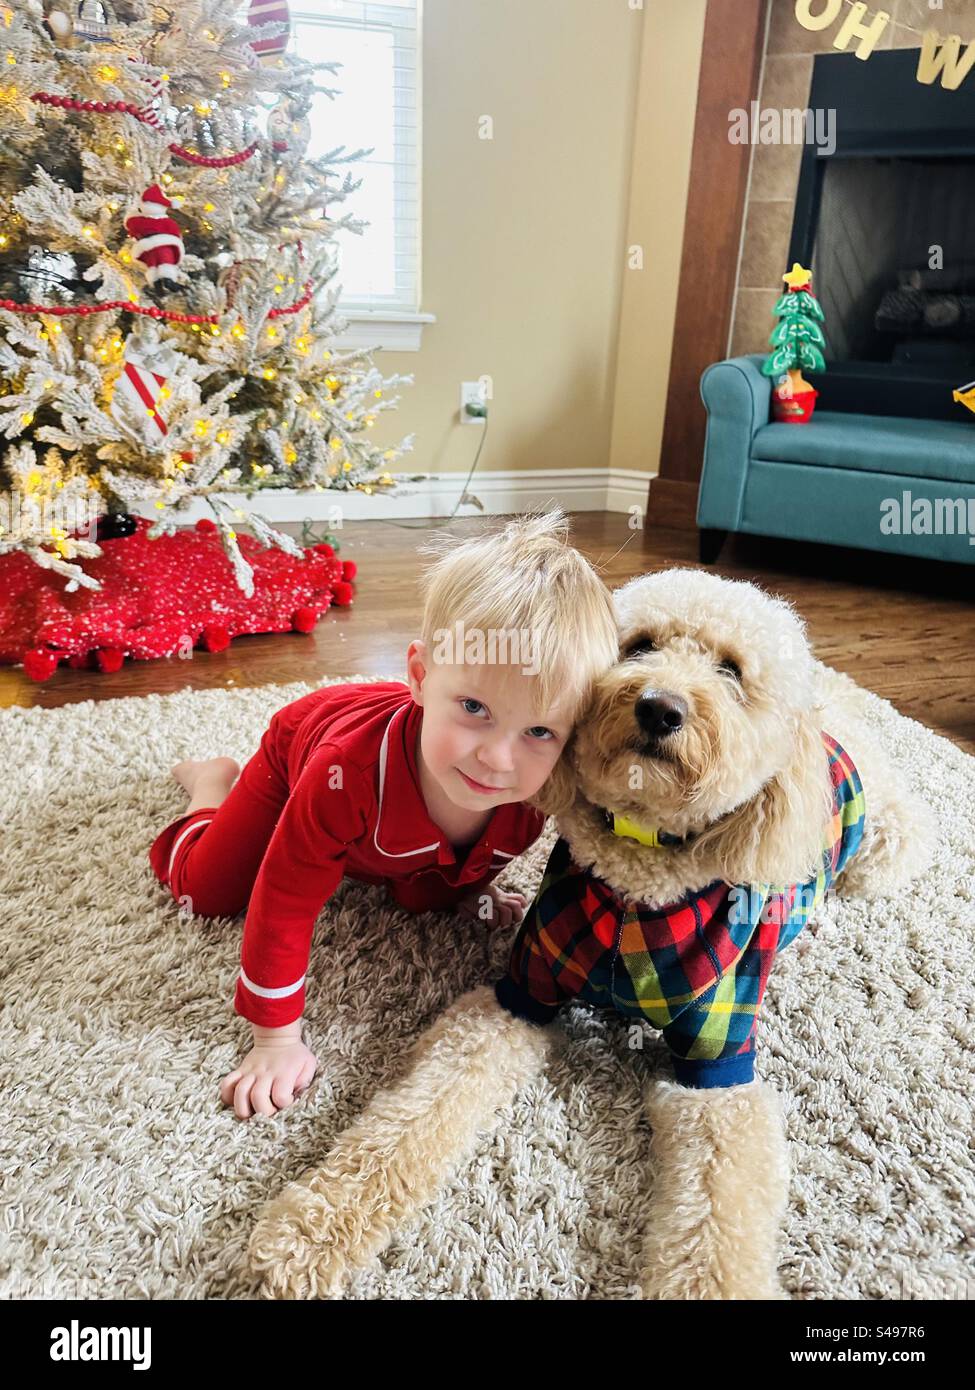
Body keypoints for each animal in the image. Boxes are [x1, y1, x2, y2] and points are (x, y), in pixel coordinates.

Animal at [247, 567, 929, 1301]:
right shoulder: (519, 994)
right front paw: (314, 1227)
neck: (637, 878)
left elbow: (718, 1215)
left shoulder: (718, 1070)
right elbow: (415, 1117)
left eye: (730, 670)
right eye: (640, 645)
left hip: (889, 845)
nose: (660, 708)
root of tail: (829, 703)